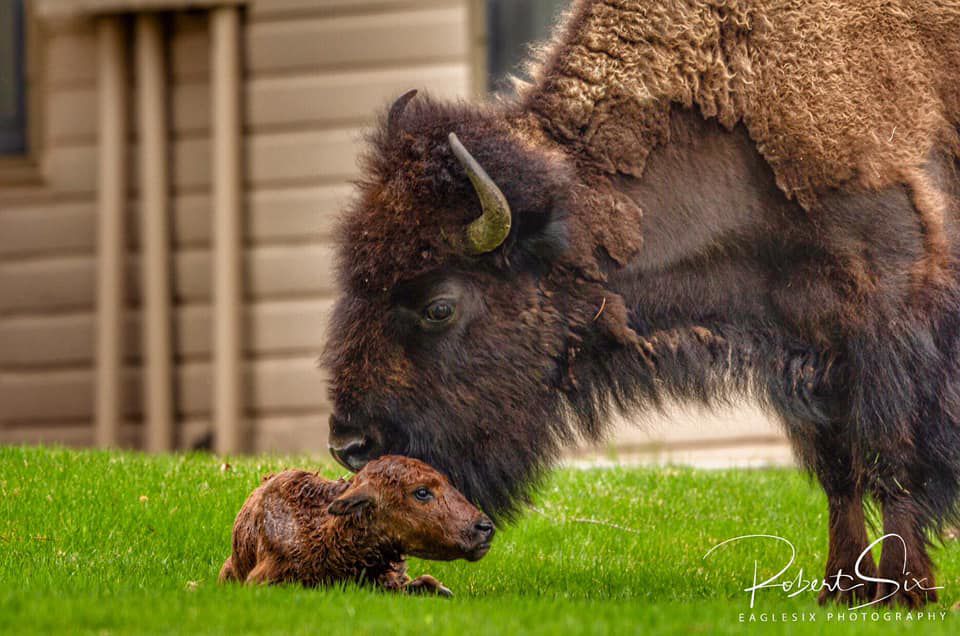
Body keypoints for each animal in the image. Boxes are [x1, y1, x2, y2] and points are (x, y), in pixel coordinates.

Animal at [322, 0, 960, 607]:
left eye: (439, 307)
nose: (349, 445)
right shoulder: (811, 353)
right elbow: (839, 471)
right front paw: (841, 591)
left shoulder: (890, 323)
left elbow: (894, 459)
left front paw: (905, 591)